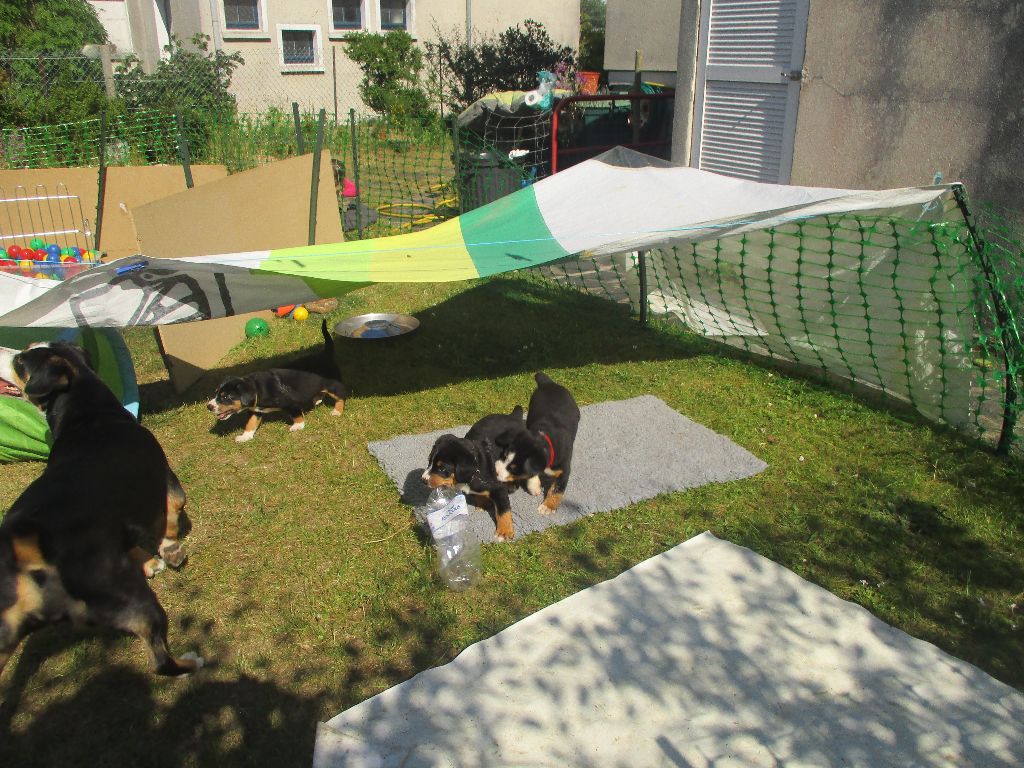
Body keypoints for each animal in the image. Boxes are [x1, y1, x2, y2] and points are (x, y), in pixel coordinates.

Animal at [0, 342, 201, 679]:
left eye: (21, 360)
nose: (4, 352)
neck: (88, 412)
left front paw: (154, 559)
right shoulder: (167, 482)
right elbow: (171, 516)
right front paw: (166, 552)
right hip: (131, 597)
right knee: (159, 659)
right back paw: (193, 662)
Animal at [206, 319, 348, 444]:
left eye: (226, 397)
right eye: (216, 394)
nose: (209, 406)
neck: (258, 389)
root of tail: (325, 355)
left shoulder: (291, 403)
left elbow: (297, 415)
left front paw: (298, 426)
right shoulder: (255, 411)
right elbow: (250, 424)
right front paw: (245, 436)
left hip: (333, 385)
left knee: (340, 396)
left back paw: (337, 411)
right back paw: (317, 399)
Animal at [419, 405, 524, 544]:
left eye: (441, 468)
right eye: (429, 462)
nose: (423, 480)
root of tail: (513, 415)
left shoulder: (498, 488)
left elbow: (503, 510)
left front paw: (504, 532)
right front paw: (482, 503)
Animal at [493, 372, 581, 518]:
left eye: (514, 469)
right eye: (504, 456)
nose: (495, 472)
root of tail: (548, 383)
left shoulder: (564, 470)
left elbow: (557, 490)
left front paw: (548, 506)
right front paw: (534, 486)